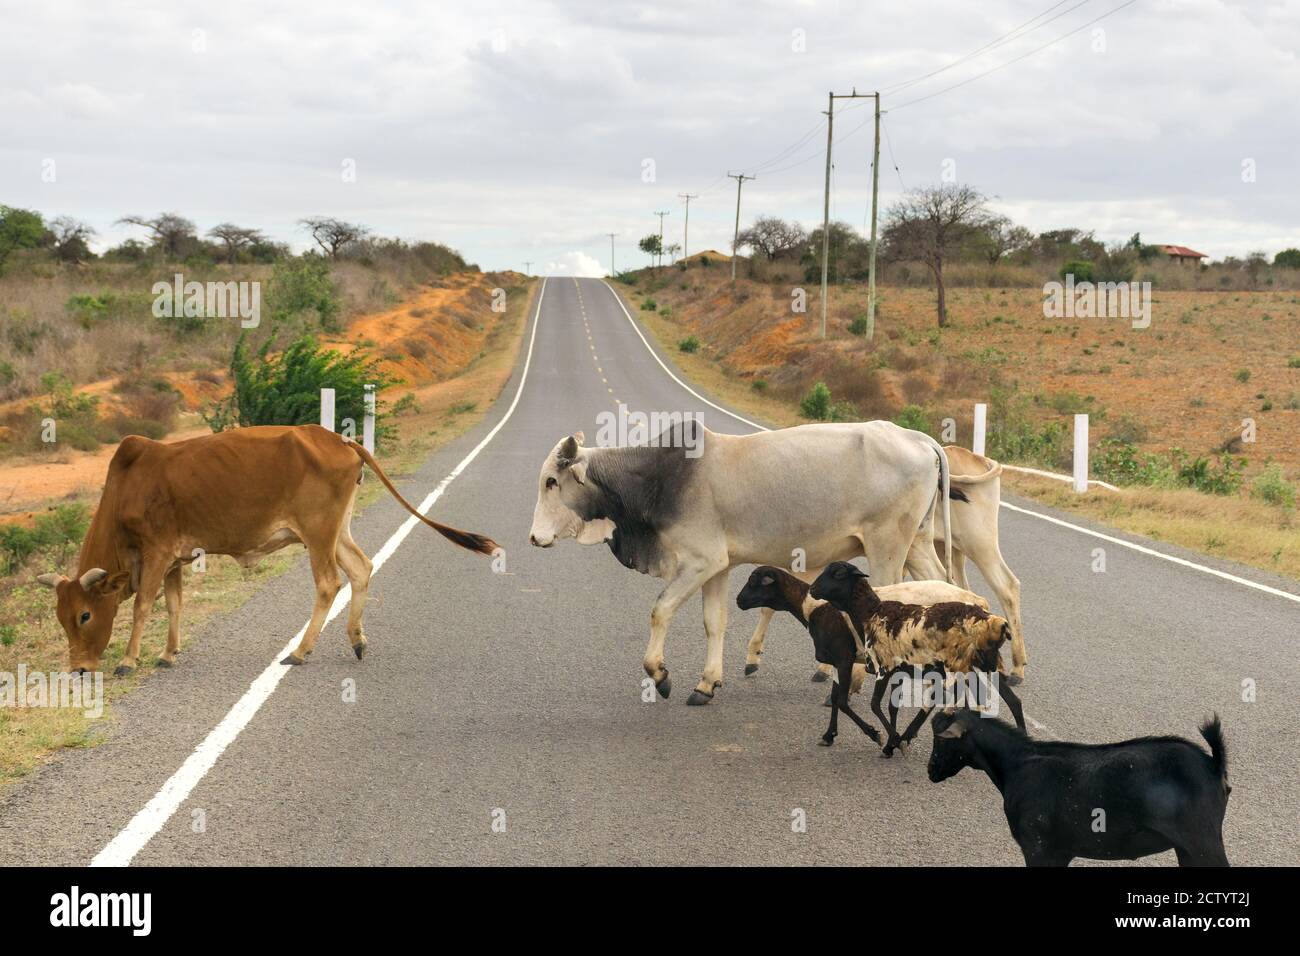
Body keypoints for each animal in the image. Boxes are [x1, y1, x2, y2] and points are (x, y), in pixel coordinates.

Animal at [38, 426, 496, 671]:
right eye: (60, 618)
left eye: (84, 615)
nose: (79, 669)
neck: (126, 486)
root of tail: (339, 440)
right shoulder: (174, 561)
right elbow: (174, 605)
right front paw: (168, 654)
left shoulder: (156, 553)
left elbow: (143, 606)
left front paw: (128, 660)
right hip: (336, 532)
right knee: (361, 569)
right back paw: (356, 640)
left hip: (317, 534)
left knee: (329, 583)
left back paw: (301, 651)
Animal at [527, 421, 956, 707]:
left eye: (551, 481)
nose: (533, 537)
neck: (660, 477)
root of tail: (919, 438)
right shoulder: (718, 567)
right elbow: (713, 623)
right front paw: (706, 684)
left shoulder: (700, 561)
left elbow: (660, 610)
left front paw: (660, 675)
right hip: (916, 543)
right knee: (942, 586)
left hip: (887, 547)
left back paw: (856, 684)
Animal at [925, 712, 1227, 868]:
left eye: (940, 740)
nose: (931, 770)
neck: (1017, 764)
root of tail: (1213, 764)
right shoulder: (1059, 853)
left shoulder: (1038, 849)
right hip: (1187, 849)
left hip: (1203, 842)